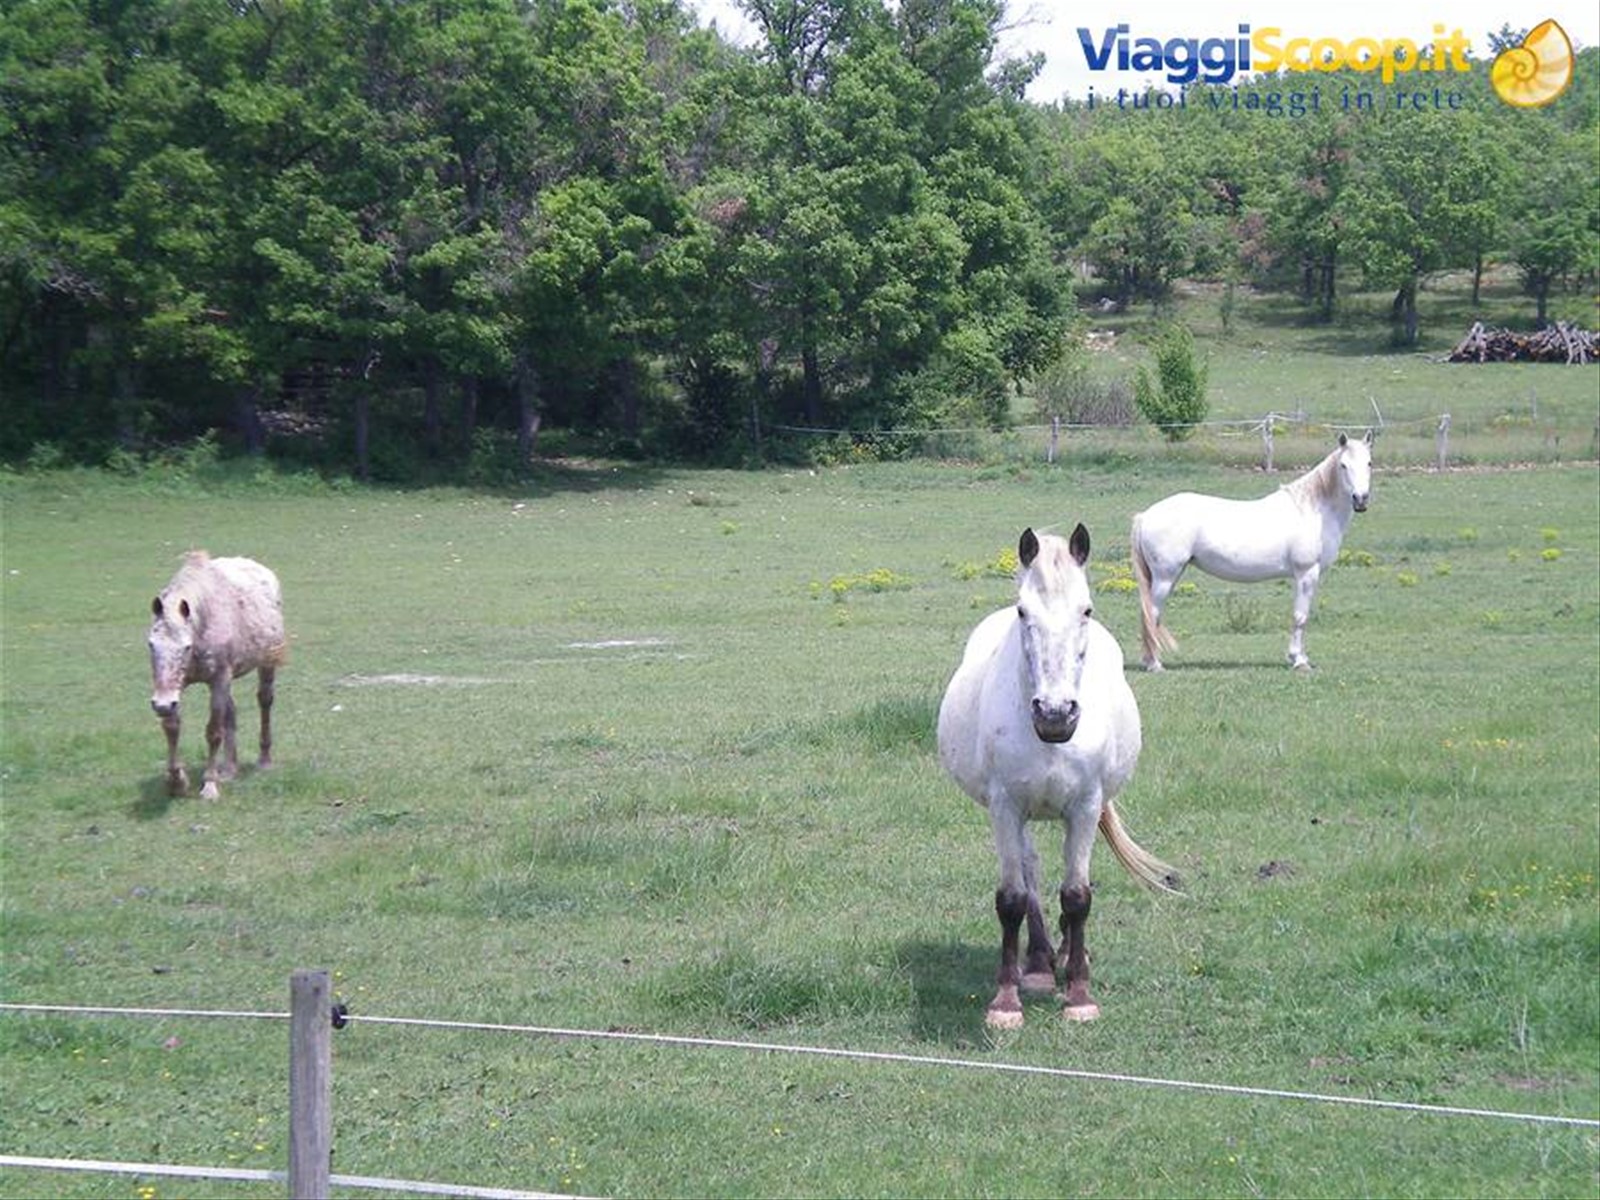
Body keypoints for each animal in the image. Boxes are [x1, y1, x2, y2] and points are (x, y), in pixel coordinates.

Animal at [148, 552, 286, 800]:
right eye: (151, 645)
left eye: (186, 647)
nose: (161, 704)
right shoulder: (176, 688)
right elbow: (172, 727)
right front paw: (177, 782)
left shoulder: (219, 679)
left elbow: (213, 731)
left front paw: (210, 785)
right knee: (231, 712)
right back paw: (230, 768)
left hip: (265, 664)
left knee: (265, 701)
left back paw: (264, 759)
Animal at [937, 526, 1180, 1028]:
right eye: (1023, 611)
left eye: (1086, 609)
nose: (1055, 714)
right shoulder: (1005, 807)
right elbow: (1012, 898)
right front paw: (1006, 1001)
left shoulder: (1085, 806)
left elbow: (1077, 895)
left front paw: (1080, 995)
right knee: (1030, 871)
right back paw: (1038, 964)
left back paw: (1069, 958)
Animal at [1131, 431, 1374, 672]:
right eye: (1343, 465)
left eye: (1369, 463)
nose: (1360, 499)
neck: (1313, 510)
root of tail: (1145, 515)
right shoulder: (1306, 573)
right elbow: (1300, 616)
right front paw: (1299, 661)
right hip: (1165, 577)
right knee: (1151, 614)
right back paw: (1155, 664)